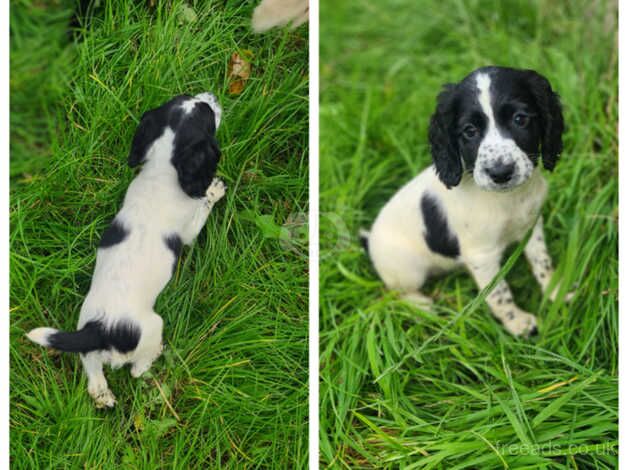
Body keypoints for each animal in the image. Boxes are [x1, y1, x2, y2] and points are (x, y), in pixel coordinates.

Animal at [25, 92, 226, 408]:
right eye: (207, 113)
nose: (211, 95)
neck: (162, 170)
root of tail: (101, 330)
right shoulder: (189, 230)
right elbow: (202, 208)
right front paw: (214, 190)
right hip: (152, 326)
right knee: (137, 369)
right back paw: (157, 354)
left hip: (86, 338)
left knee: (92, 371)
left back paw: (102, 394)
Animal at [364, 67, 576, 338]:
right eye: (469, 131)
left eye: (520, 119)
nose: (500, 172)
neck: (508, 199)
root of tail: (369, 238)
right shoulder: (481, 256)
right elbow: (498, 292)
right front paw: (518, 323)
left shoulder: (531, 226)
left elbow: (542, 261)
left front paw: (556, 290)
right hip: (406, 270)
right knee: (395, 292)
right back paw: (422, 305)